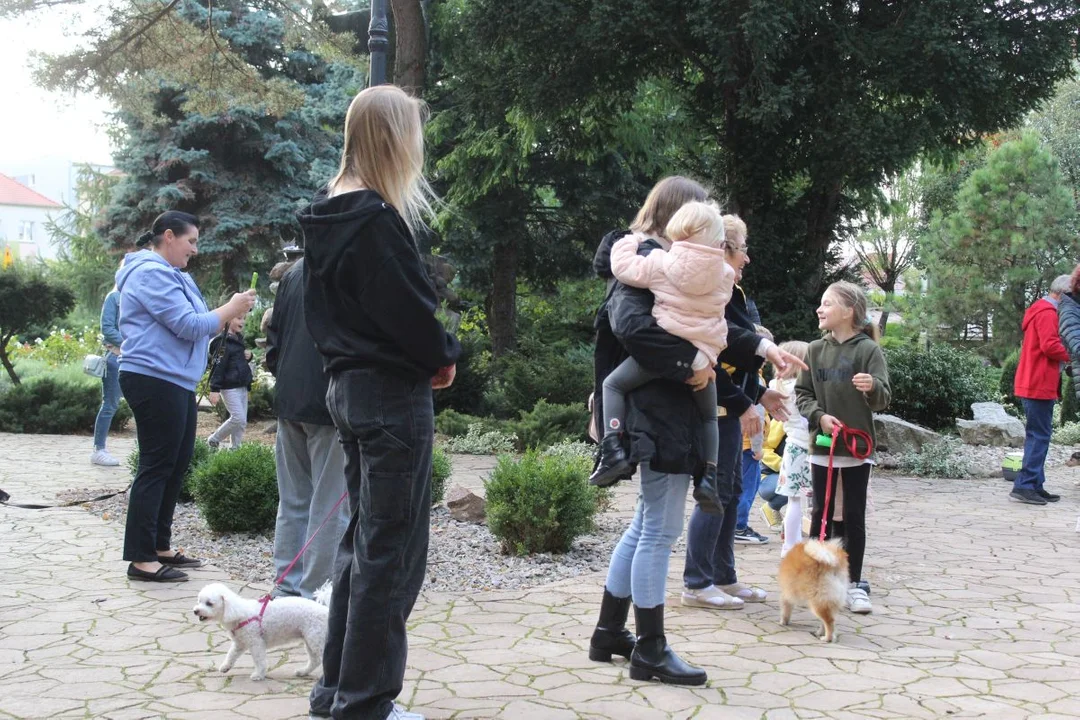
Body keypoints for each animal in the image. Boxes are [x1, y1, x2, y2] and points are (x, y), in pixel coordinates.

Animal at [194, 578, 328, 682]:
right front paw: (225, 667)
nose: (195, 611)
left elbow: (259, 660)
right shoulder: (240, 643)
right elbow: (231, 654)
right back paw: (303, 671)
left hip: (316, 639)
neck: (238, 613)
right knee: (315, 660)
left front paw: (258, 674)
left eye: (209, 603)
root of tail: (324, 610)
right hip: (311, 640)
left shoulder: (256, 642)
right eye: (199, 601)